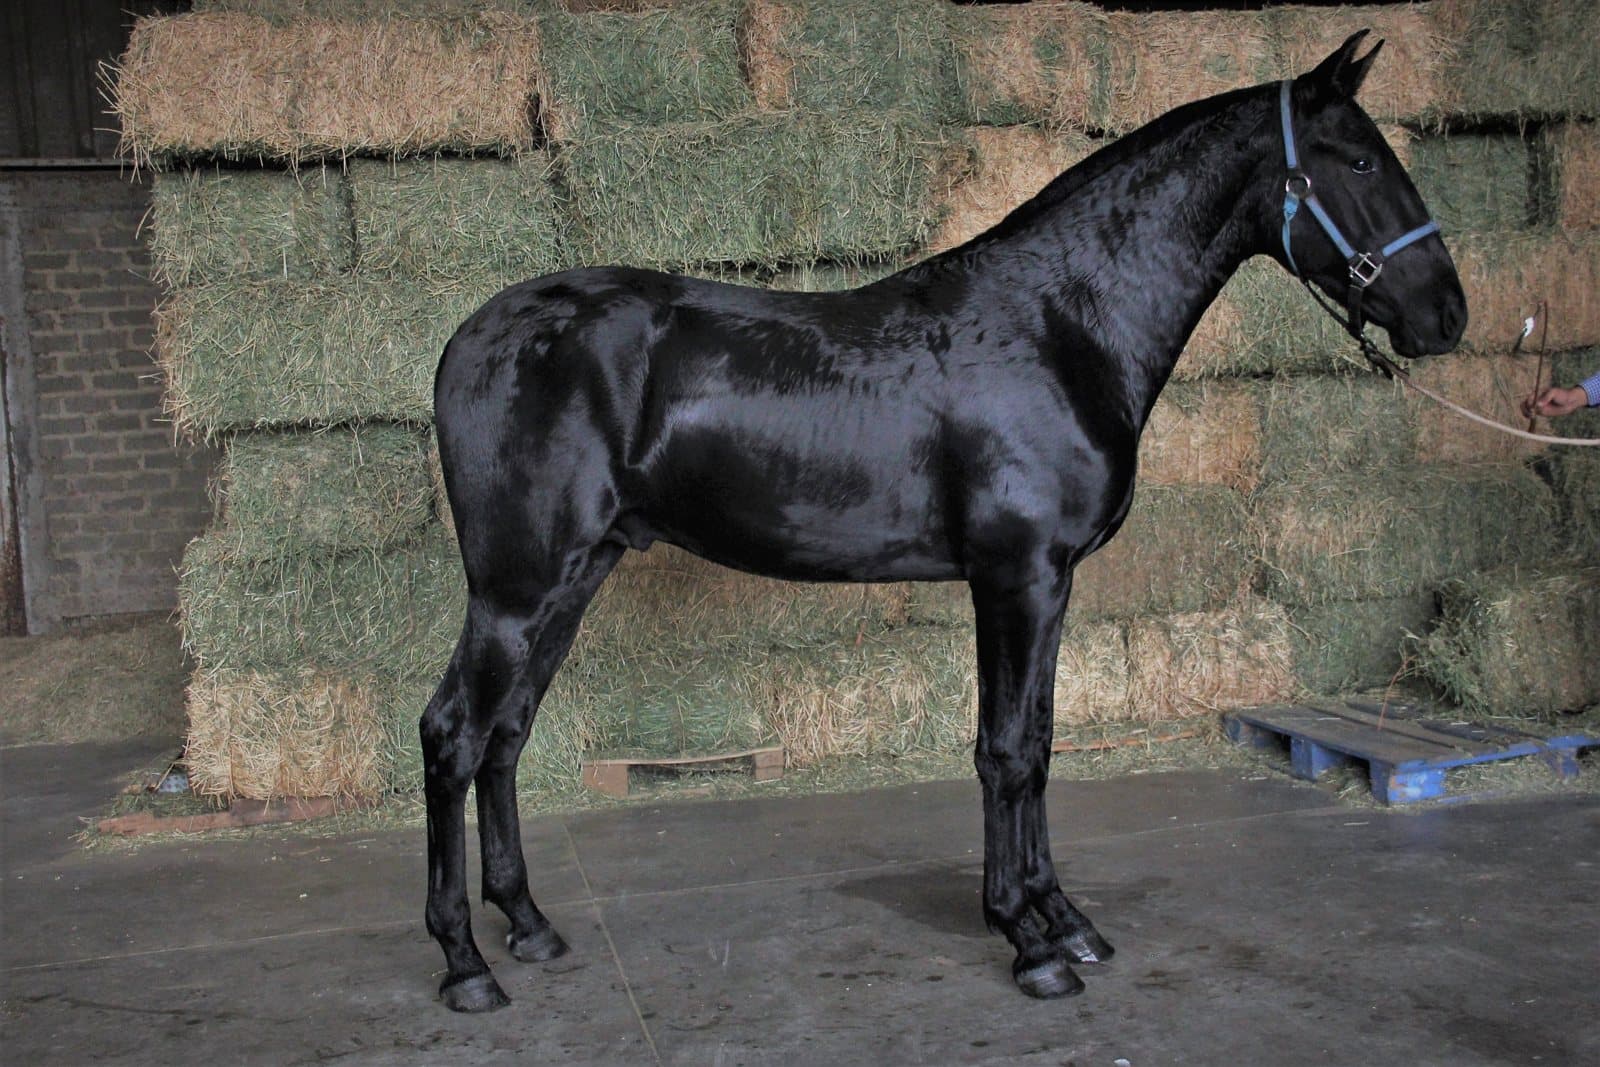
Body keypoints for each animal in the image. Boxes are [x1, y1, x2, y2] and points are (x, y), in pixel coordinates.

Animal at [422, 32, 1466, 1011]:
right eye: (1360, 161)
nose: (1447, 315)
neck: (1058, 324)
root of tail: (469, 337)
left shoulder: (1048, 583)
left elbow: (1037, 741)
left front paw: (1064, 918)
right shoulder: (1018, 576)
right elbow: (1006, 750)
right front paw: (1030, 942)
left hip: (575, 576)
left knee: (506, 734)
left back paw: (528, 924)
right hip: (517, 589)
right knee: (453, 734)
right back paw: (466, 964)